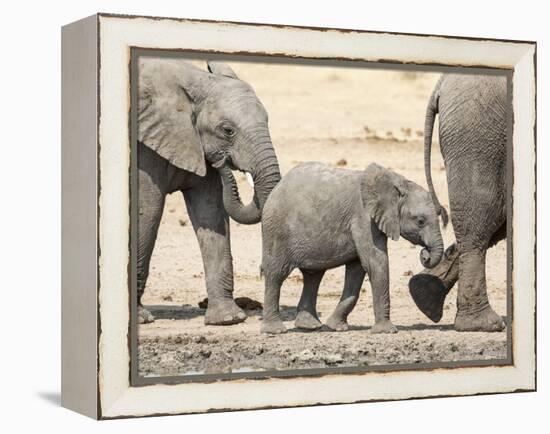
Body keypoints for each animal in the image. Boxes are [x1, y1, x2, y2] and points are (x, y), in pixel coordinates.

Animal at [137, 59, 282, 326]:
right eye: (227, 131)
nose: (223, 162)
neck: (197, 81)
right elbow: (147, 211)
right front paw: (141, 318)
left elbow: (212, 211)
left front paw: (227, 319)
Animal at [260, 163, 446, 336]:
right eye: (420, 221)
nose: (425, 254)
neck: (397, 183)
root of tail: (277, 187)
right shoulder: (363, 218)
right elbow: (375, 263)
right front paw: (386, 331)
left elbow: (357, 270)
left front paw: (335, 327)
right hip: (276, 229)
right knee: (276, 273)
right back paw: (275, 331)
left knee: (313, 276)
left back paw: (309, 326)